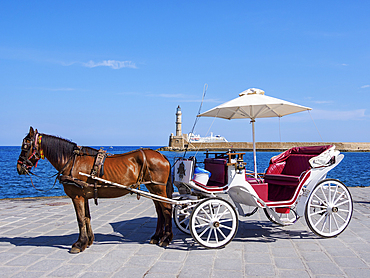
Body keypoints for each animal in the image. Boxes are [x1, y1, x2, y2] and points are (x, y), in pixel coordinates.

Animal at [16, 127, 173, 253]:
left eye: (25, 145)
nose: (19, 167)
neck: (72, 161)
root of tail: (162, 155)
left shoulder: (77, 196)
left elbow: (80, 219)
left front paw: (79, 244)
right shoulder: (83, 195)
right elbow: (86, 217)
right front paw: (88, 241)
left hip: (158, 187)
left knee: (167, 208)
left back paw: (166, 238)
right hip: (153, 187)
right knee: (160, 210)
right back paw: (157, 236)